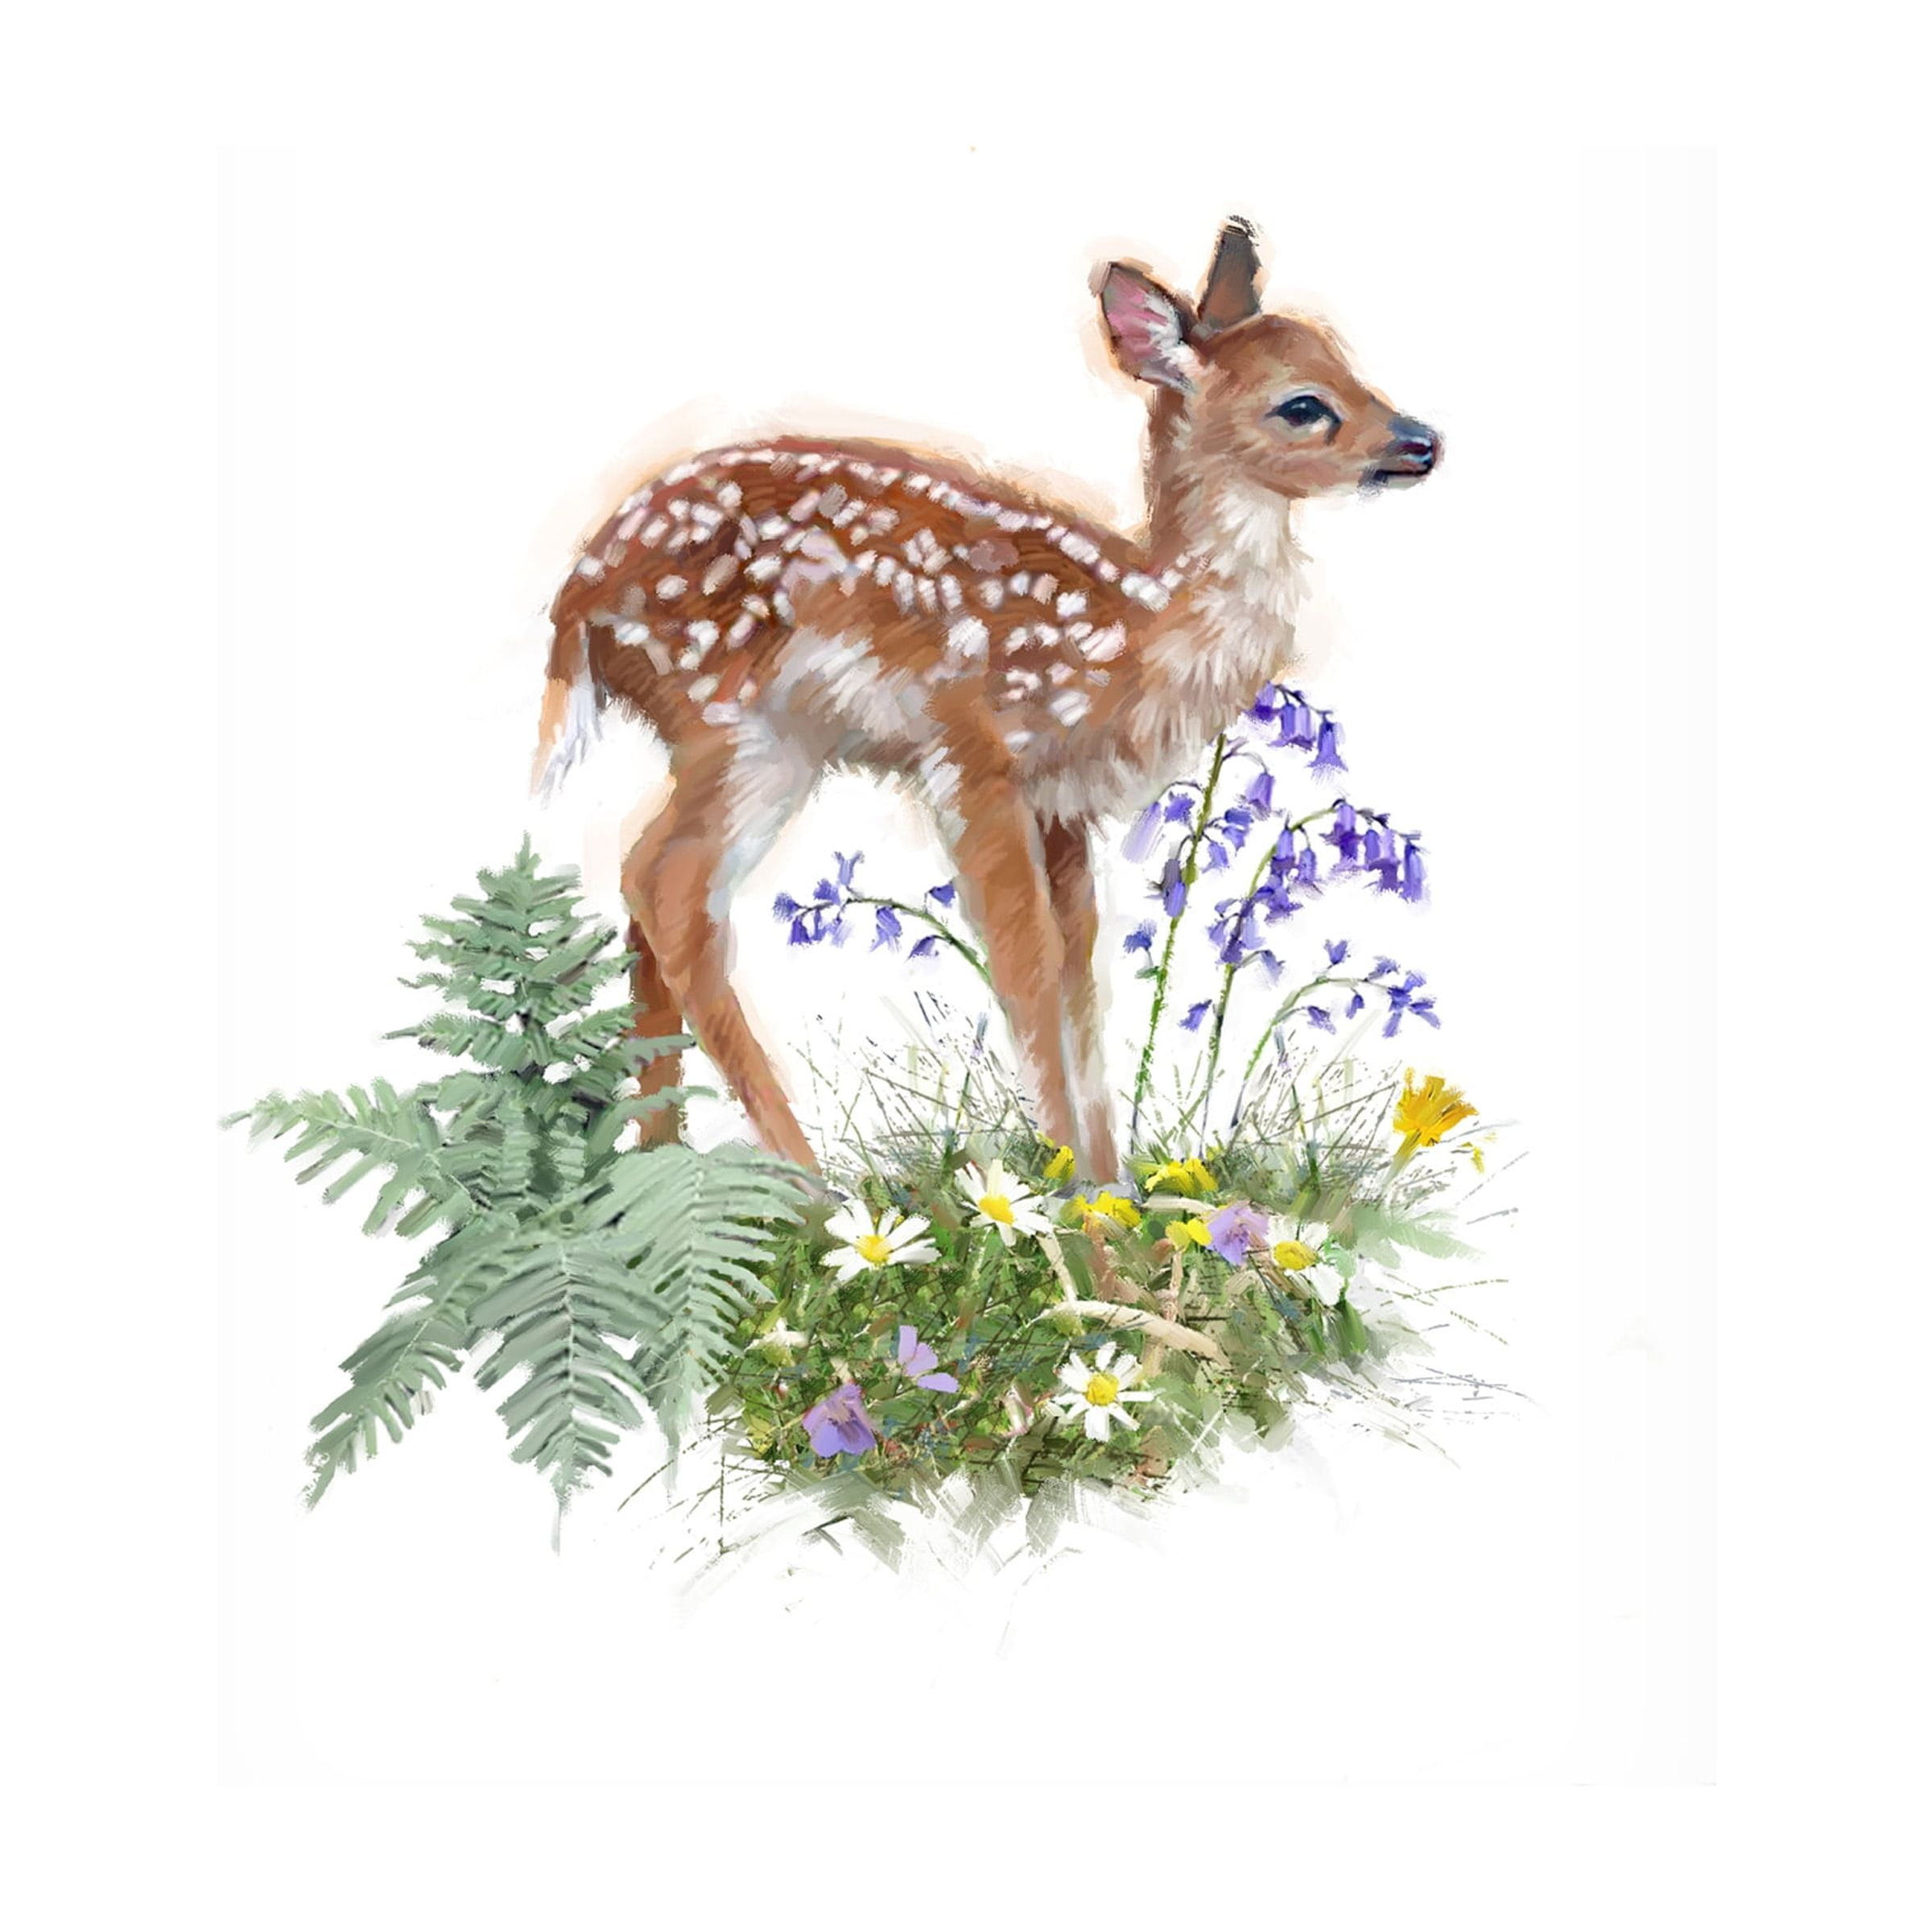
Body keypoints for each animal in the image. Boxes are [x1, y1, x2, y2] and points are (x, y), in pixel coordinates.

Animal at [531, 218, 1439, 1185]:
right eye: (1303, 405)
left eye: (1347, 359)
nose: (1424, 442)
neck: (1134, 627)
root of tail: (576, 602)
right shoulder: (973, 756)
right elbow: (1026, 966)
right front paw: (1070, 1205)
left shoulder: (1063, 804)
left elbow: (1081, 984)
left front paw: (1110, 1192)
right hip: (738, 722)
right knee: (664, 885)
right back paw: (808, 1186)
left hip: (745, 740)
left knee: (648, 889)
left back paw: (664, 1168)